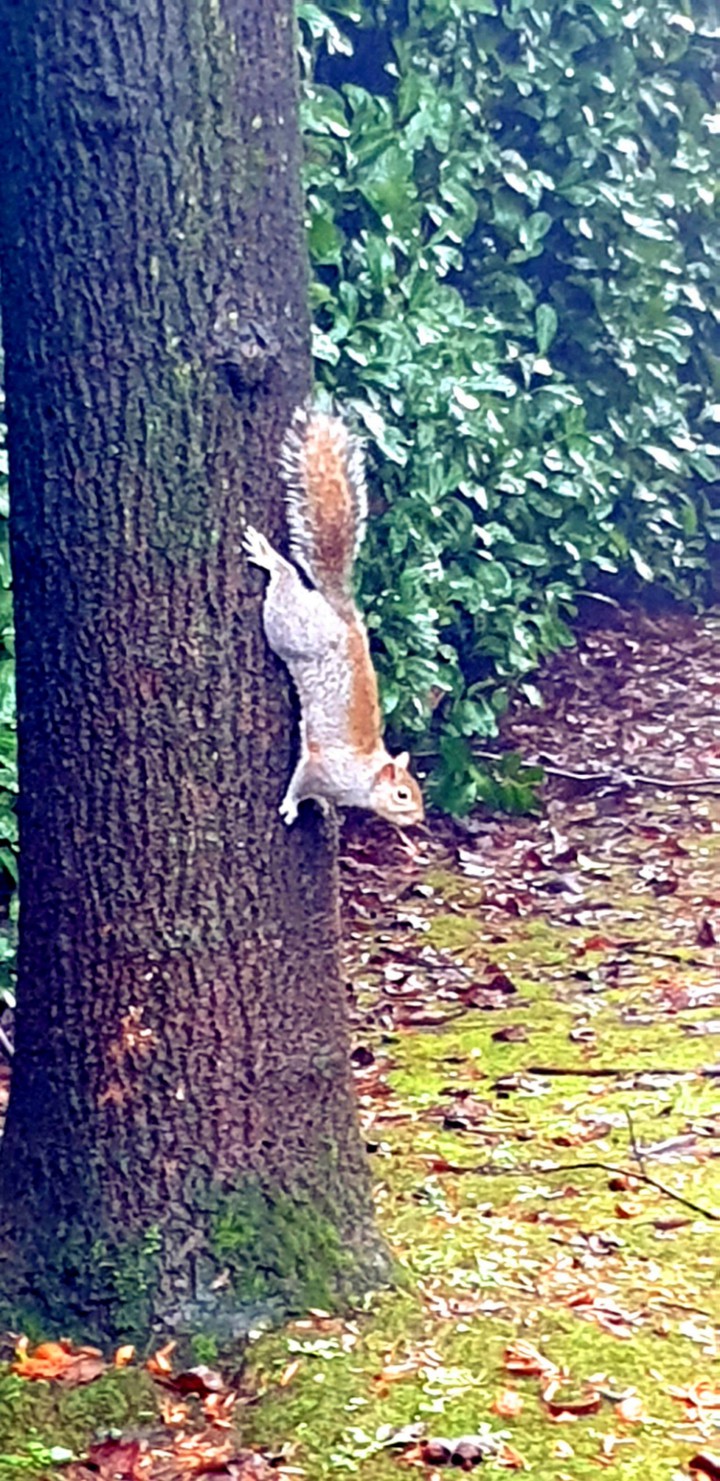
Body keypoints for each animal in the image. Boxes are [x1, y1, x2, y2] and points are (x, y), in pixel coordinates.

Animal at [243, 405, 424, 828]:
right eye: (402, 794)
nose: (419, 818)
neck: (365, 776)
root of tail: (342, 614)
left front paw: (322, 807)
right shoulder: (323, 768)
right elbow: (301, 780)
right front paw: (292, 805)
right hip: (293, 627)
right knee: (286, 582)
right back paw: (271, 560)